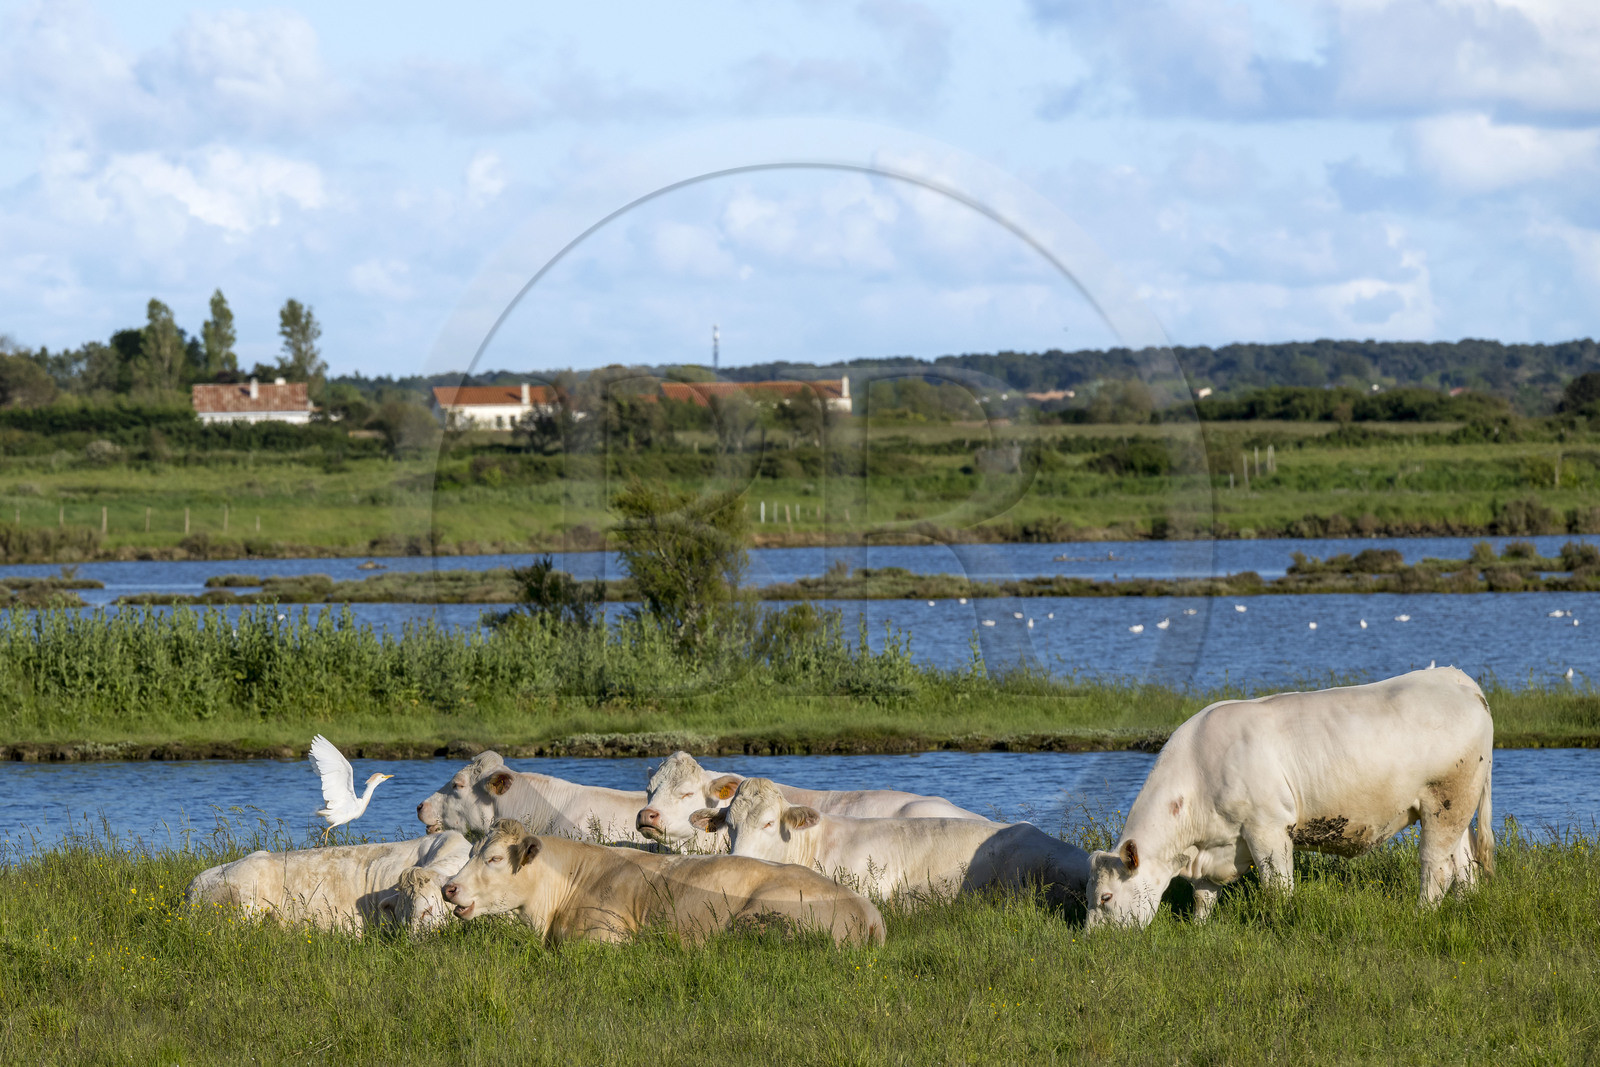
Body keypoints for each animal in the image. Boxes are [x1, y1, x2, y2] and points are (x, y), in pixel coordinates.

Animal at [440, 818, 886, 946]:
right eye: (470, 852)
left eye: (495, 858)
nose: (449, 888)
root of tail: (868, 910)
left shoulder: (604, 935)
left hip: (755, 921)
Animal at [1084, 667, 1495, 930]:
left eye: (1105, 898)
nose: (1092, 941)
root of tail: (1456, 678)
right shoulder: (1215, 845)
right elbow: (1204, 896)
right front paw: (1200, 930)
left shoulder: (1267, 828)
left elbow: (1278, 888)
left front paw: (1277, 924)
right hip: (1457, 807)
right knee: (1465, 865)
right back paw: (1466, 907)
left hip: (1444, 800)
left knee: (1436, 867)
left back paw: (1420, 915)